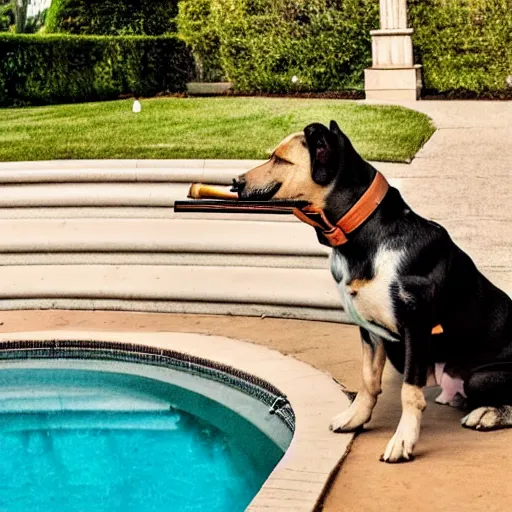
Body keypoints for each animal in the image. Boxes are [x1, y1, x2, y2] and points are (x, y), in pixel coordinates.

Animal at [232, 121, 512, 464]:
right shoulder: (370, 331)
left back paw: (488, 413)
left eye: (279, 159)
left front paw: (403, 441)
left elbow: (409, 393)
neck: (361, 233)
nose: (235, 182)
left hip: (480, 376)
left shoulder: (415, 328)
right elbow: (368, 381)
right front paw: (356, 418)